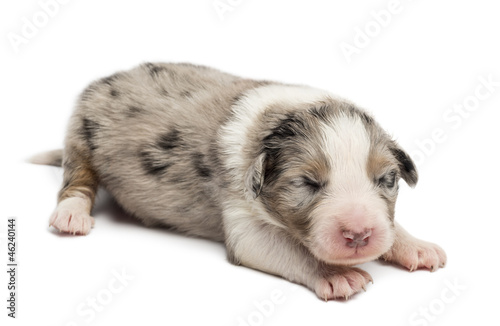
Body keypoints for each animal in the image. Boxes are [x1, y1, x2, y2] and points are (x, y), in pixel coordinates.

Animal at [32, 63, 446, 300]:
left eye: (386, 179)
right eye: (307, 183)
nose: (359, 235)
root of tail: (107, 79)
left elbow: (393, 228)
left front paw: (416, 245)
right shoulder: (242, 216)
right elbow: (287, 248)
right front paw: (336, 275)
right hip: (81, 137)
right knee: (76, 182)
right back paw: (71, 215)